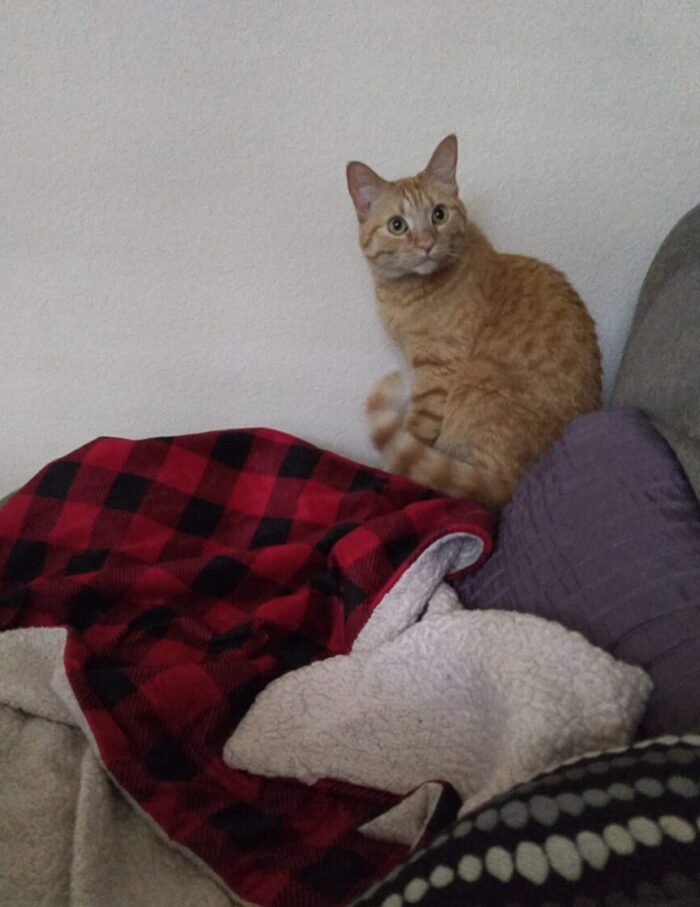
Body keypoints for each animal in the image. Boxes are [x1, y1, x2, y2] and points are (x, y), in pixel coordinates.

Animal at [344, 138, 600, 516]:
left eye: (438, 214)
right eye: (397, 225)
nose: (427, 244)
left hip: (475, 376)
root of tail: (519, 483)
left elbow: (412, 433)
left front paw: (390, 475)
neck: (405, 294)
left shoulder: (437, 373)